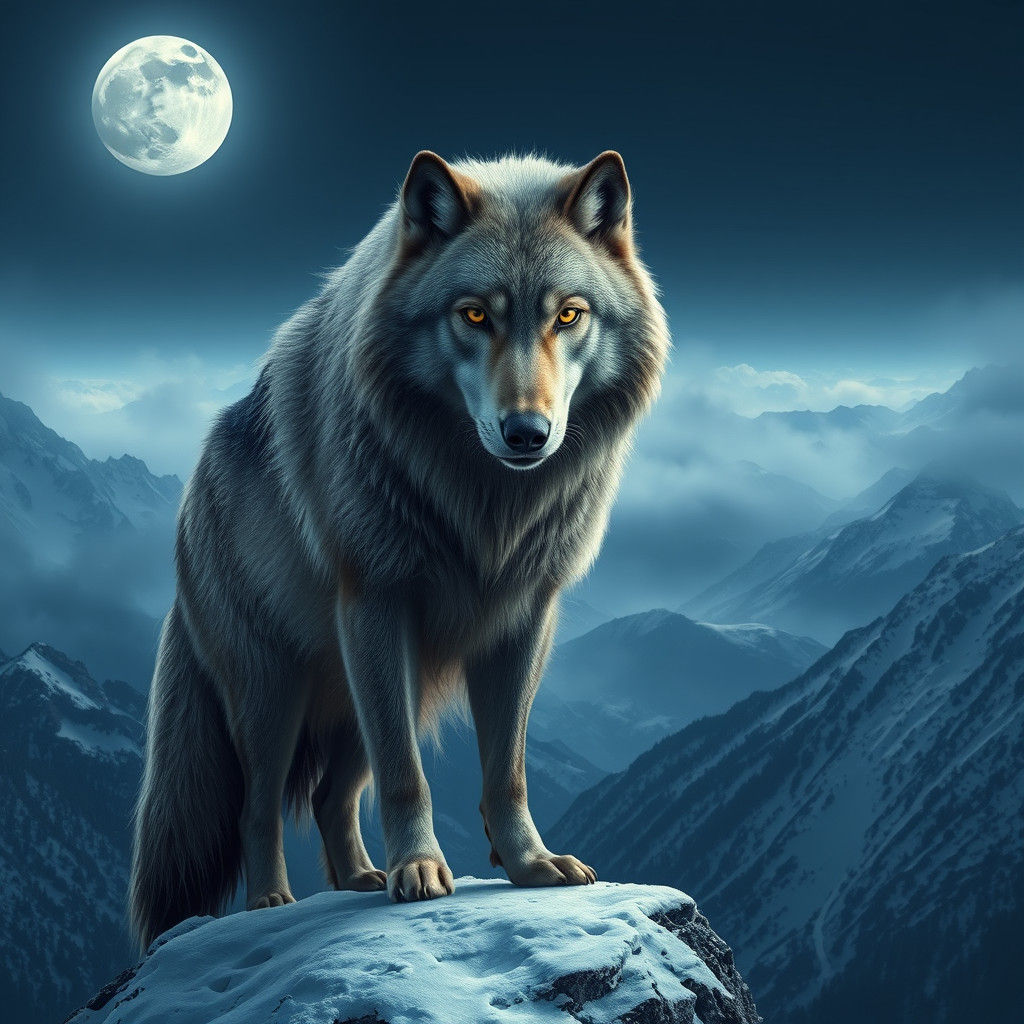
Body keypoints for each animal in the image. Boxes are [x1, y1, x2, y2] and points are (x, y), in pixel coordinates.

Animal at [128, 149, 669, 948]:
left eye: (568, 315)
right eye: (474, 314)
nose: (527, 433)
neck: (483, 505)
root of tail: (191, 497)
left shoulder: (525, 619)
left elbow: (506, 770)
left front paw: (528, 864)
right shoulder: (378, 603)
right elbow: (406, 777)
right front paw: (420, 871)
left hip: (367, 693)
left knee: (330, 796)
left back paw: (358, 877)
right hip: (277, 693)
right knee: (259, 805)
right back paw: (271, 902)